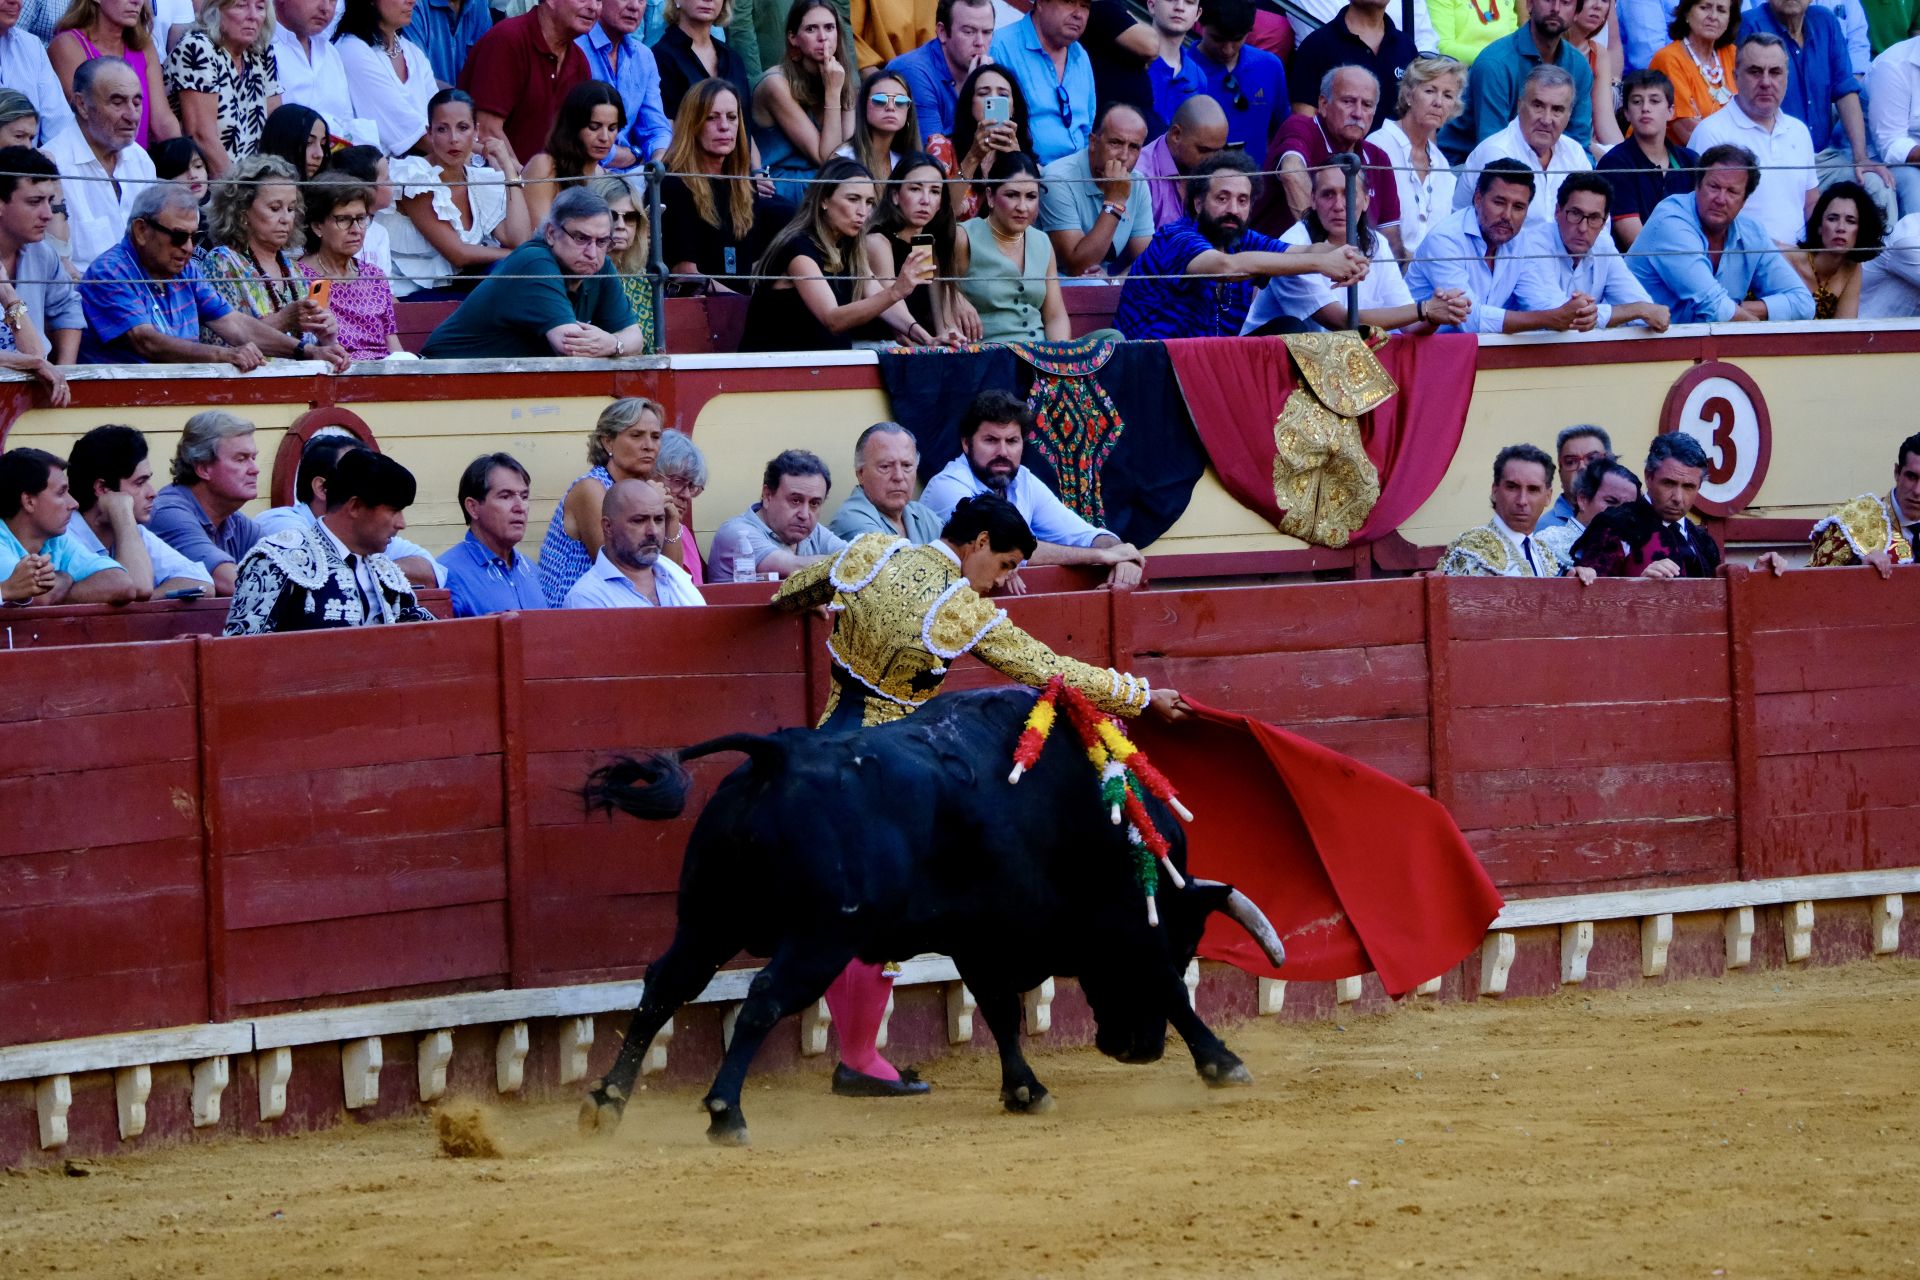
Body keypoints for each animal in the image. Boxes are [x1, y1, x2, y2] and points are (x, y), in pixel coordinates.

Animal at [576, 687, 1282, 1143]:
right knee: (763, 998)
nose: (1135, 1050)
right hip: (820, 937)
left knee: (664, 986)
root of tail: (778, 759)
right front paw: (1222, 1063)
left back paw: (607, 1102)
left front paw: (1025, 1091)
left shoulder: (980, 938)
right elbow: (1168, 989)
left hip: (707, 920)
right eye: (1186, 942)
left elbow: (998, 1011)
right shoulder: (1118, 928)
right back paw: (726, 1112)